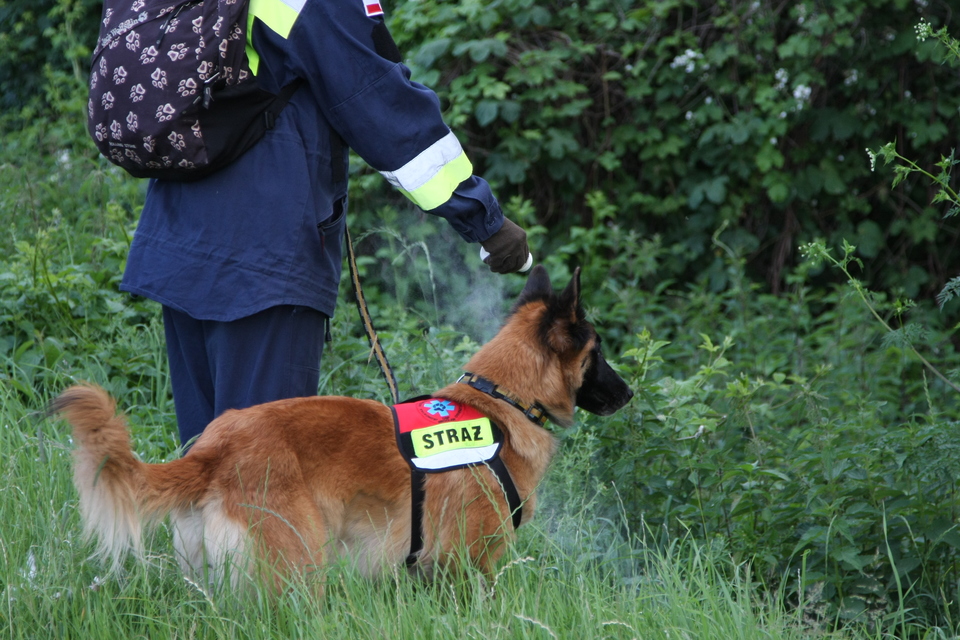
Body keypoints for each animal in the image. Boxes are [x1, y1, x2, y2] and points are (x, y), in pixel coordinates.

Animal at [54, 264, 636, 592]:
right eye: (598, 352)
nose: (629, 394)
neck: (501, 399)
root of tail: (214, 448)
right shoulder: (468, 563)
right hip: (298, 568)